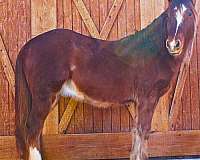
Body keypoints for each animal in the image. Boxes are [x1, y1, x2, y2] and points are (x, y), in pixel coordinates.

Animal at [15, 0, 197, 159]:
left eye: (189, 13)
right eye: (169, 15)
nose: (173, 45)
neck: (153, 53)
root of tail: (28, 46)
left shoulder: (139, 102)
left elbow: (136, 134)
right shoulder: (147, 100)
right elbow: (143, 132)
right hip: (44, 98)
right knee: (32, 130)